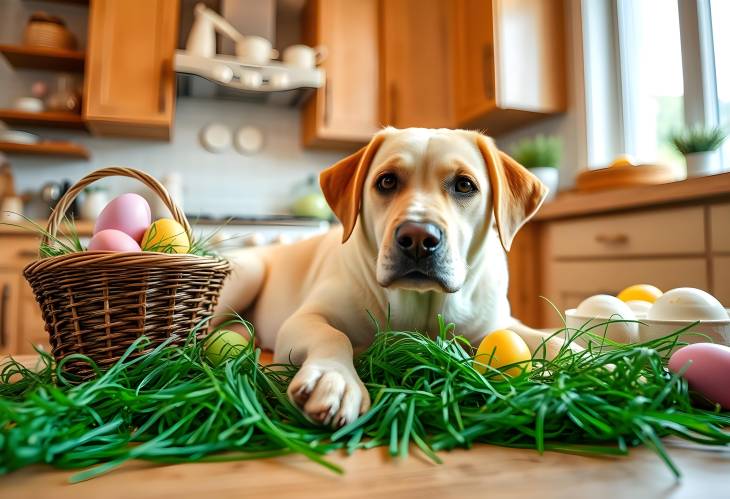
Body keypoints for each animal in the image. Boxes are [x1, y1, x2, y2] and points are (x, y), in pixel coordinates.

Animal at [216, 128, 556, 426]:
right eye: (387, 181)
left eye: (464, 185)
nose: (418, 238)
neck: (420, 305)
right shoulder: (303, 319)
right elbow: (333, 335)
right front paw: (334, 378)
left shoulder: (499, 324)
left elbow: (547, 338)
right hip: (247, 275)